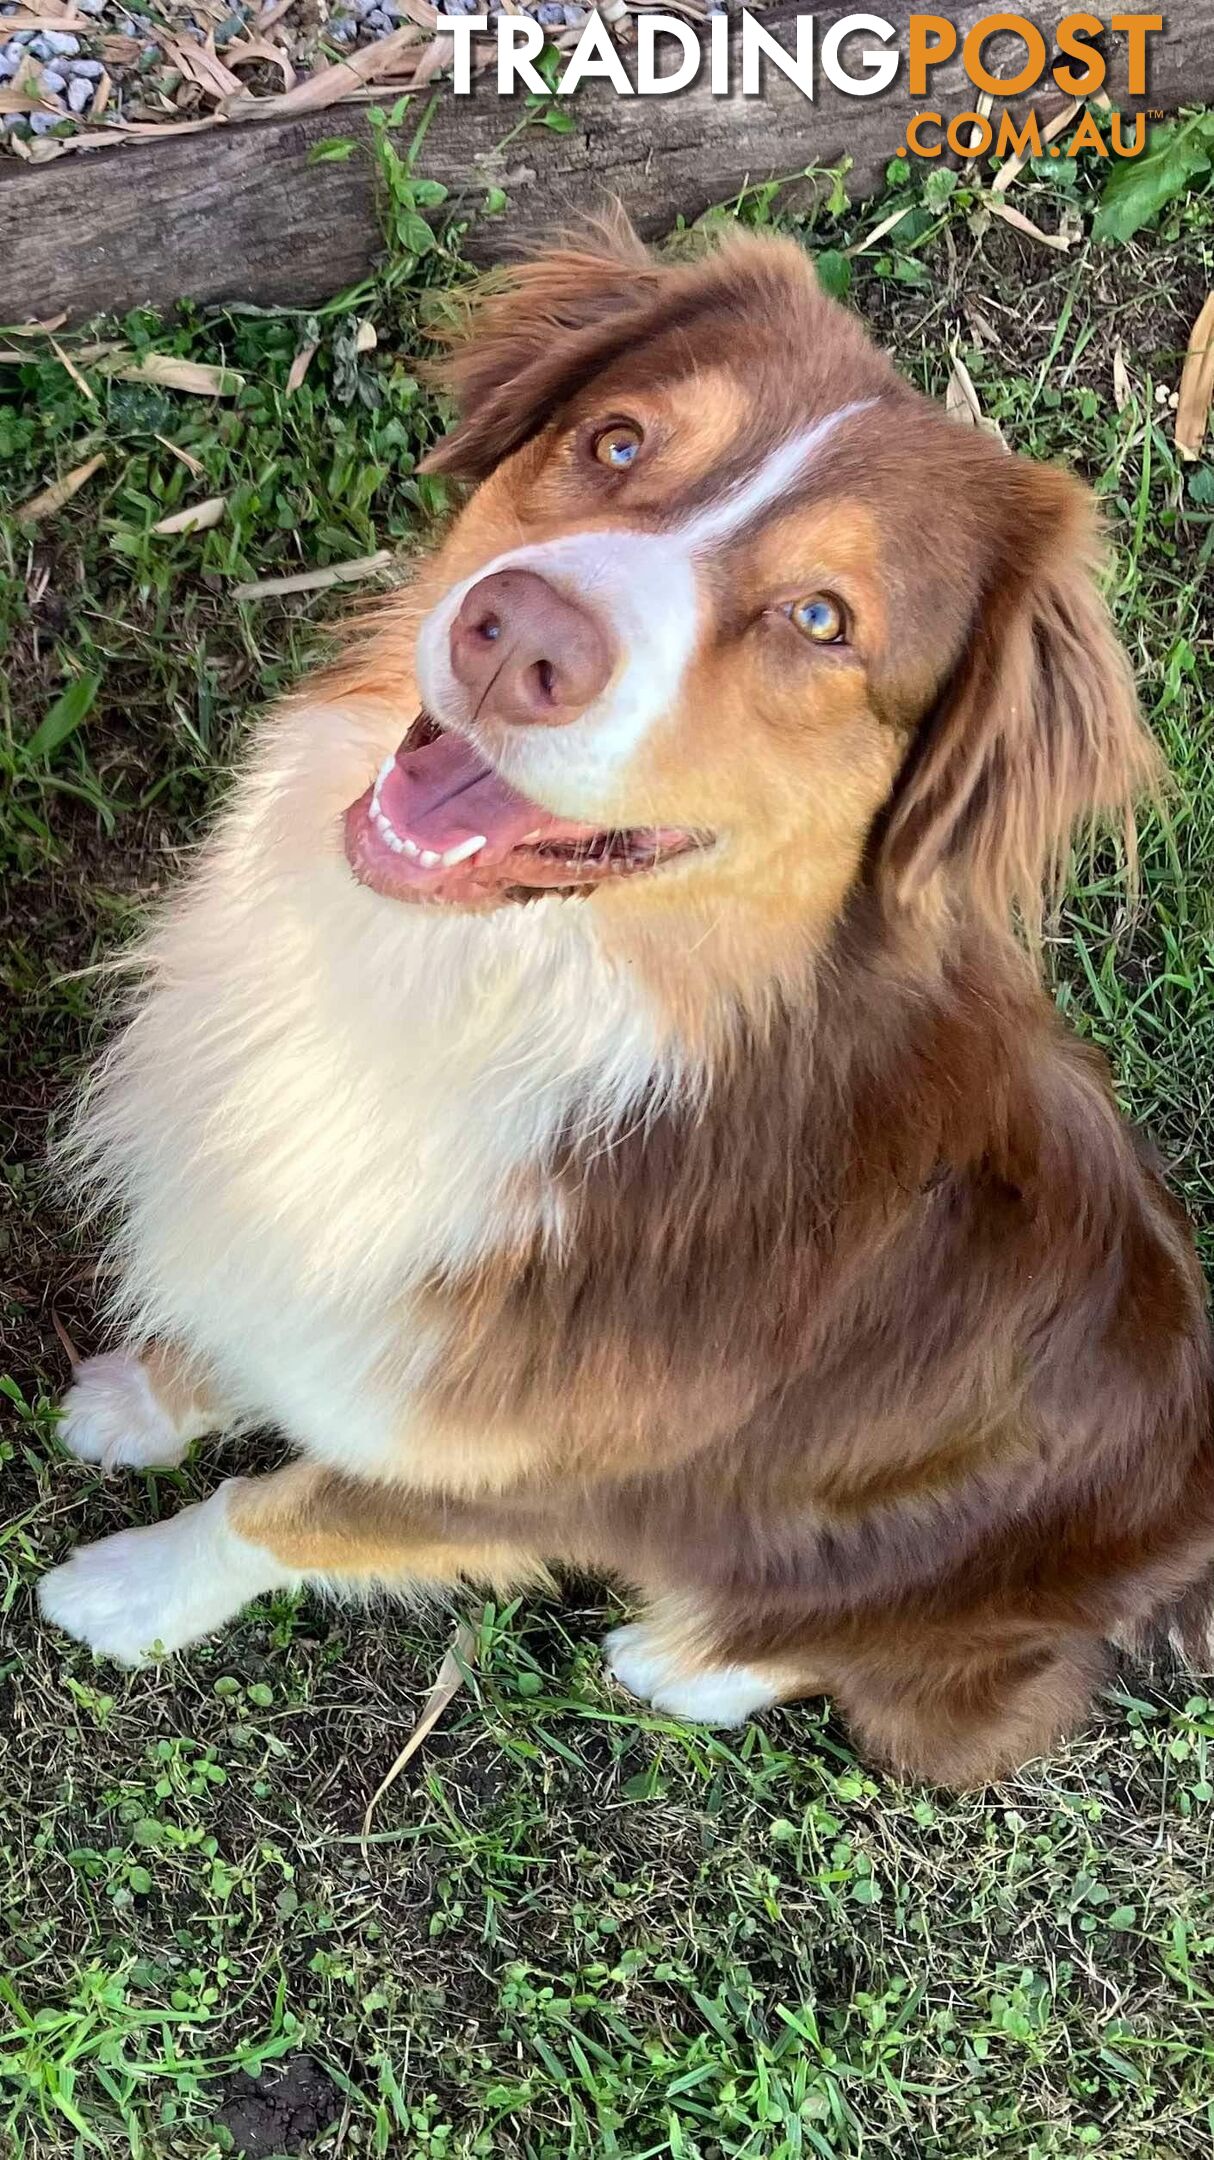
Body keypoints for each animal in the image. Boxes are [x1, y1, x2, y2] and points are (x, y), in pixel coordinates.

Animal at [37, 223, 1209, 1788]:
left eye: (821, 620)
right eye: (616, 439)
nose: (515, 632)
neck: (501, 996)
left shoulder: (526, 1485)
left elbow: (282, 1515)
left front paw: (128, 1591)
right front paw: (147, 1397)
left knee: (953, 1686)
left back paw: (683, 1661)